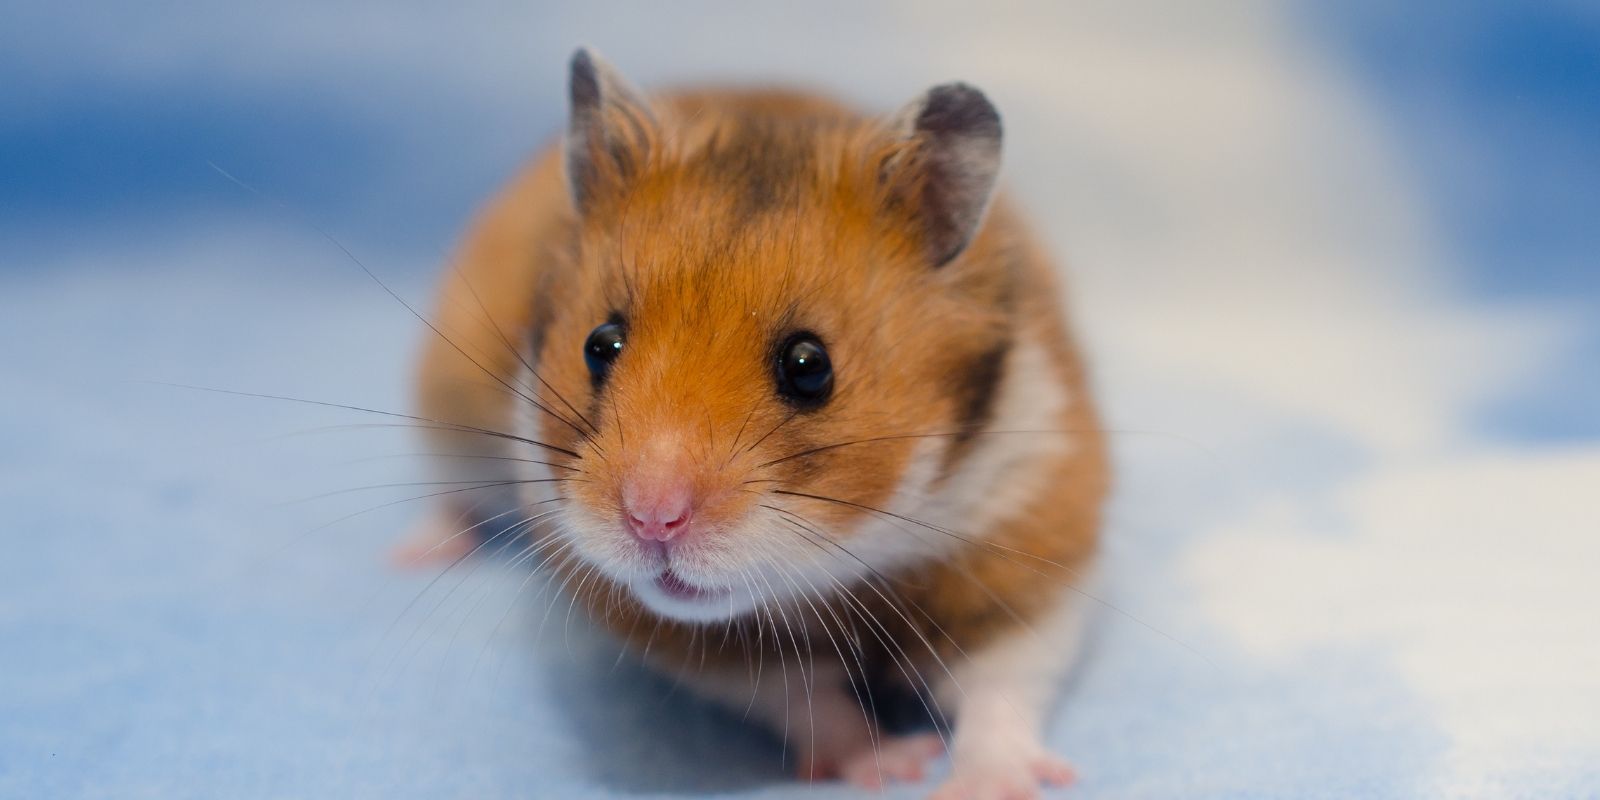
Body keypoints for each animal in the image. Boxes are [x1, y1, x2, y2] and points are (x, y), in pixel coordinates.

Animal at [404, 48, 1108, 800]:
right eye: (600, 344)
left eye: (809, 365)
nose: (652, 519)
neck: (855, 556)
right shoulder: (702, 642)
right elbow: (806, 701)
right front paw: (894, 765)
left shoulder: (1028, 539)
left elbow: (1002, 685)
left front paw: (981, 784)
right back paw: (416, 554)